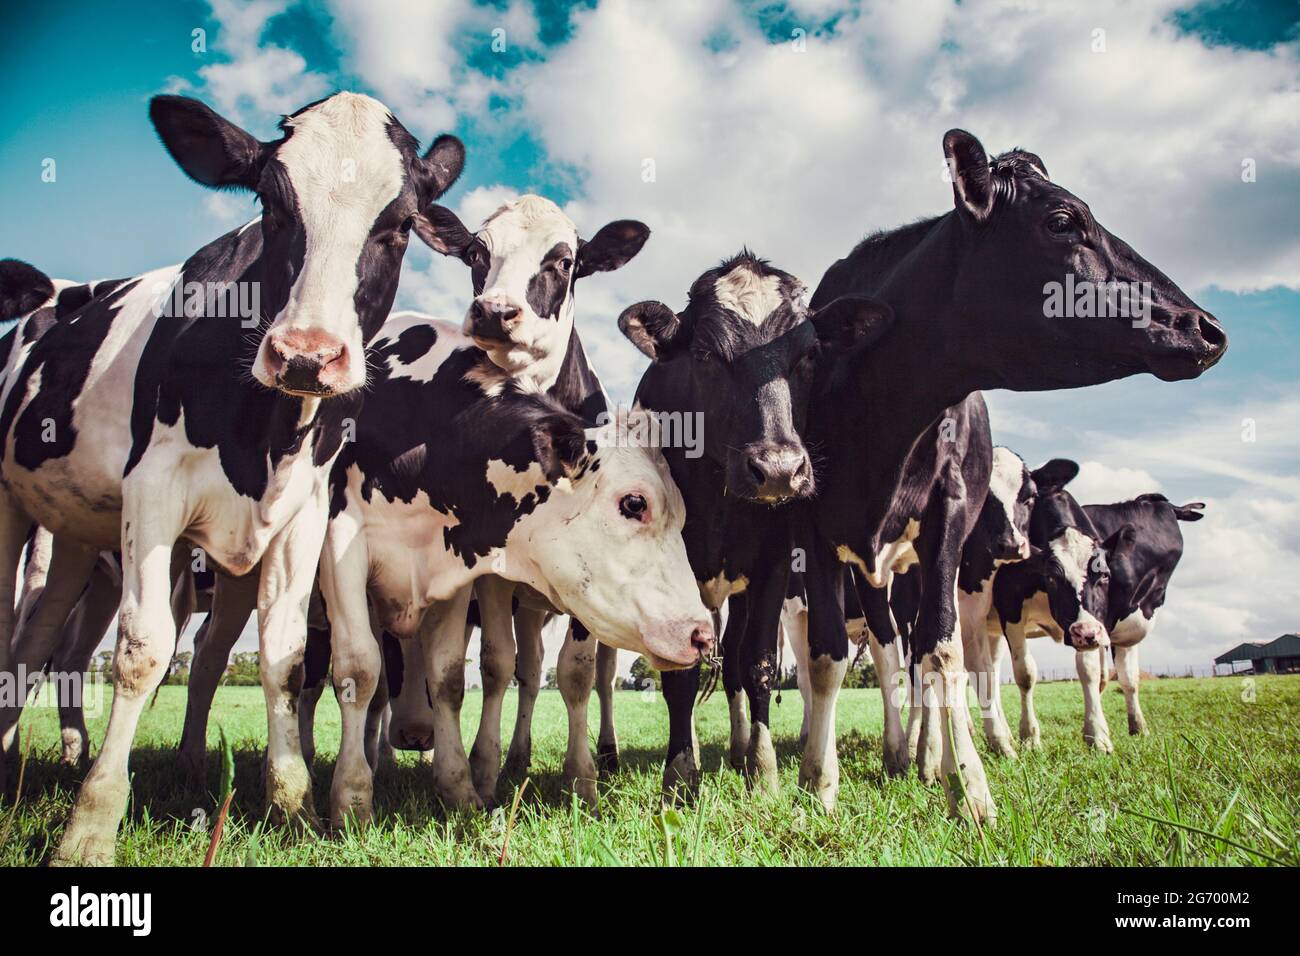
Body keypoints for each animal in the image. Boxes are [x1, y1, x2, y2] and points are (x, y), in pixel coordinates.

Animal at [0, 92, 465, 865]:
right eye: (272, 205)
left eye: (399, 225)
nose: (306, 355)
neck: (265, 435)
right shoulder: (154, 491)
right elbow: (142, 650)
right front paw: (90, 825)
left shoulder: (304, 513)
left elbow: (284, 658)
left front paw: (292, 805)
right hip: (12, 508)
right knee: (22, 635)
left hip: (75, 538)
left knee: (41, 642)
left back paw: (24, 763)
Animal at [317, 311, 713, 824]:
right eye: (634, 503)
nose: (702, 634)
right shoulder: (340, 541)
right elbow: (360, 670)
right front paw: (352, 799)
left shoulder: (455, 573)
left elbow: (449, 677)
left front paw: (461, 786)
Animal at [615, 252, 885, 798]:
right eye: (703, 353)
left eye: (809, 354)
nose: (778, 468)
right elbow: (680, 674)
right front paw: (681, 773)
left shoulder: (772, 564)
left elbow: (757, 663)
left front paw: (762, 769)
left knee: (735, 663)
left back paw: (740, 747)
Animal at [795, 128, 1227, 821]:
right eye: (1062, 221)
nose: (1206, 327)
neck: (879, 406)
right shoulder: (815, 528)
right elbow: (832, 657)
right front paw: (820, 779)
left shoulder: (947, 522)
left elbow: (944, 653)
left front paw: (969, 784)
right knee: (891, 657)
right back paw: (904, 750)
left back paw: (929, 757)